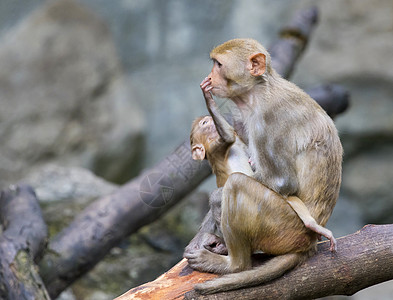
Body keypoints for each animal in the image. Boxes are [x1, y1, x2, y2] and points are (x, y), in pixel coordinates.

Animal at [188, 76, 336, 250]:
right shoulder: (215, 147)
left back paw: (312, 225)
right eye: (204, 124)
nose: (210, 119)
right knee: (220, 198)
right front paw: (209, 99)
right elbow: (228, 138)